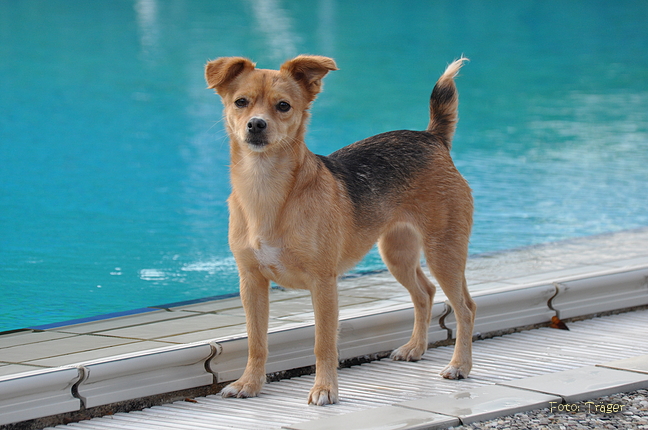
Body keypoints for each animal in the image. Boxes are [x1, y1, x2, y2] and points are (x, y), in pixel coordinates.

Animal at [205, 55, 474, 404]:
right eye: (241, 102)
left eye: (283, 106)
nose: (256, 124)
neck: (266, 188)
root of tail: (432, 137)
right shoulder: (251, 283)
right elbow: (256, 341)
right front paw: (249, 384)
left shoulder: (323, 284)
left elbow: (323, 343)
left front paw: (324, 389)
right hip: (398, 254)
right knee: (425, 293)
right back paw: (416, 348)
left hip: (444, 254)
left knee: (465, 308)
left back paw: (460, 366)